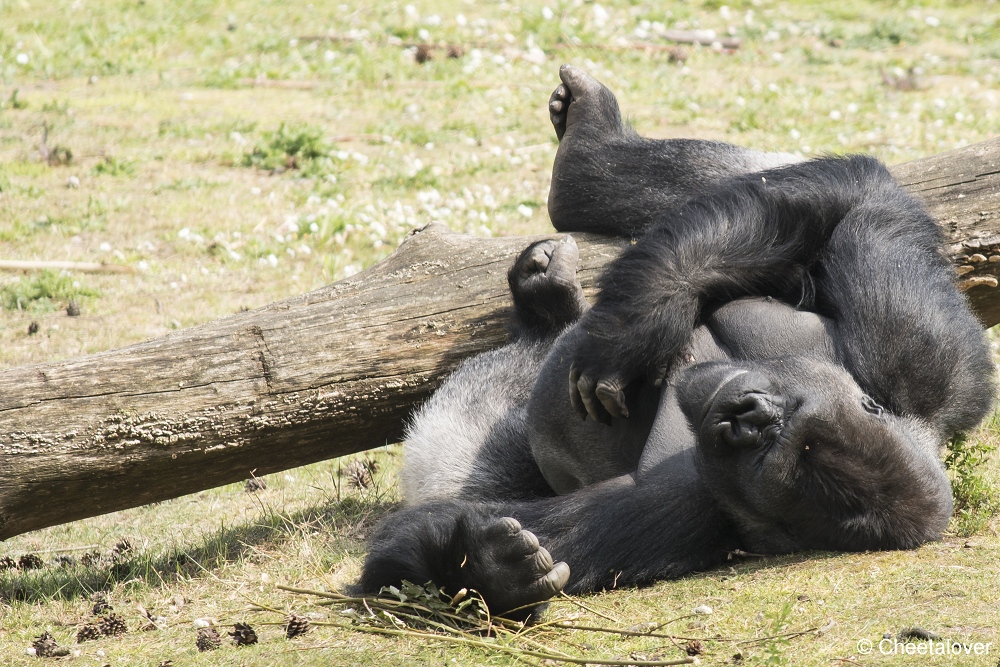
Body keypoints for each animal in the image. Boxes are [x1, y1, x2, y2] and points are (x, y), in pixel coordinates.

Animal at [352, 65, 992, 620]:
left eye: (773, 457)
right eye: (795, 424)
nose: (747, 415)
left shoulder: (694, 501)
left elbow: (533, 533)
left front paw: (488, 569)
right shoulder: (913, 354)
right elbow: (856, 196)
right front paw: (641, 323)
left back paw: (545, 306)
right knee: (766, 190)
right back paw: (587, 158)